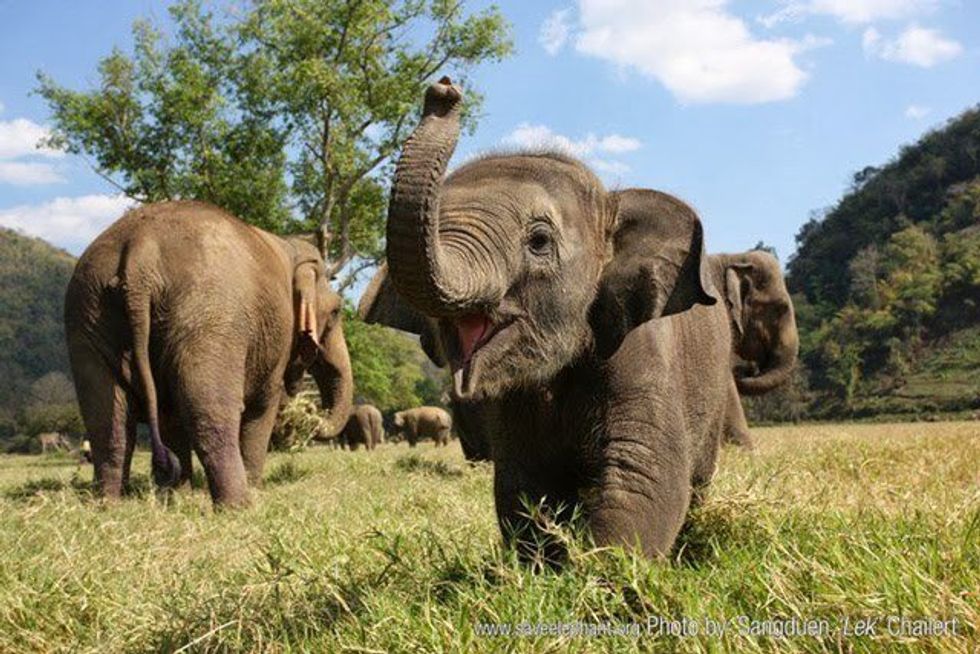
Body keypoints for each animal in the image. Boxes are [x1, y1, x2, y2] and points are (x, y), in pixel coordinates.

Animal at [65, 200, 354, 507]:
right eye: (336, 311)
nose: (309, 409)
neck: (290, 245)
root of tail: (141, 253)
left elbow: (169, 416)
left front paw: (177, 496)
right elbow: (262, 407)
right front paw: (254, 488)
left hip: (88, 314)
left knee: (108, 418)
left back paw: (108, 504)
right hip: (210, 321)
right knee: (211, 411)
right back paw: (238, 506)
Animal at [359, 78, 737, 560]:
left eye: (538, 241)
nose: (443, 91)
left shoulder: (641, 349)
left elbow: (645, 475)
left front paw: (600, 570)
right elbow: (523, 485)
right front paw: (545, 563)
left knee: (697, 477)